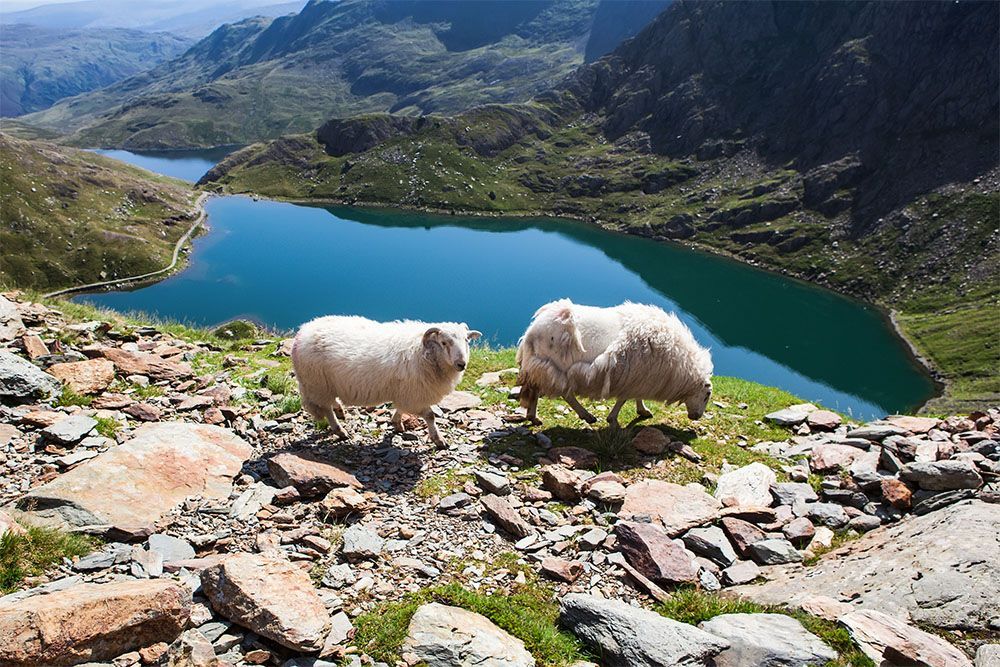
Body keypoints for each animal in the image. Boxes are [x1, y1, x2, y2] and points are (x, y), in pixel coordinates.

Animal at [292, 315, 481, 446]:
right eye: (443, 342)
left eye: (466, 340)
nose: (461, 364)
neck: (424, 352)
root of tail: (302, 331)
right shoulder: (414, 394)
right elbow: (430, 415)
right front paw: (438, 439)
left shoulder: (406, 392)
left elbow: (401, 408)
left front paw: (397, 423)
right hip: (318, 383)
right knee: (326, 408)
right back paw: (340, 430)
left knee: (330, 404)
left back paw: (340, 410)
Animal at [516, 299, 713, 427]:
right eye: (707, 395)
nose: (696, 417)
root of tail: (532, 330)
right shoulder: (633, 376)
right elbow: (623, 399)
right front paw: (614, 419)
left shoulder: (639, 376)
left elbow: (635, 396)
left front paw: (642, 410)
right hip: (553, 367)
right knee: (563, 393)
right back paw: (585, 415)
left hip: (543, 366)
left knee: (542, 390)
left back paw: (534, 416)